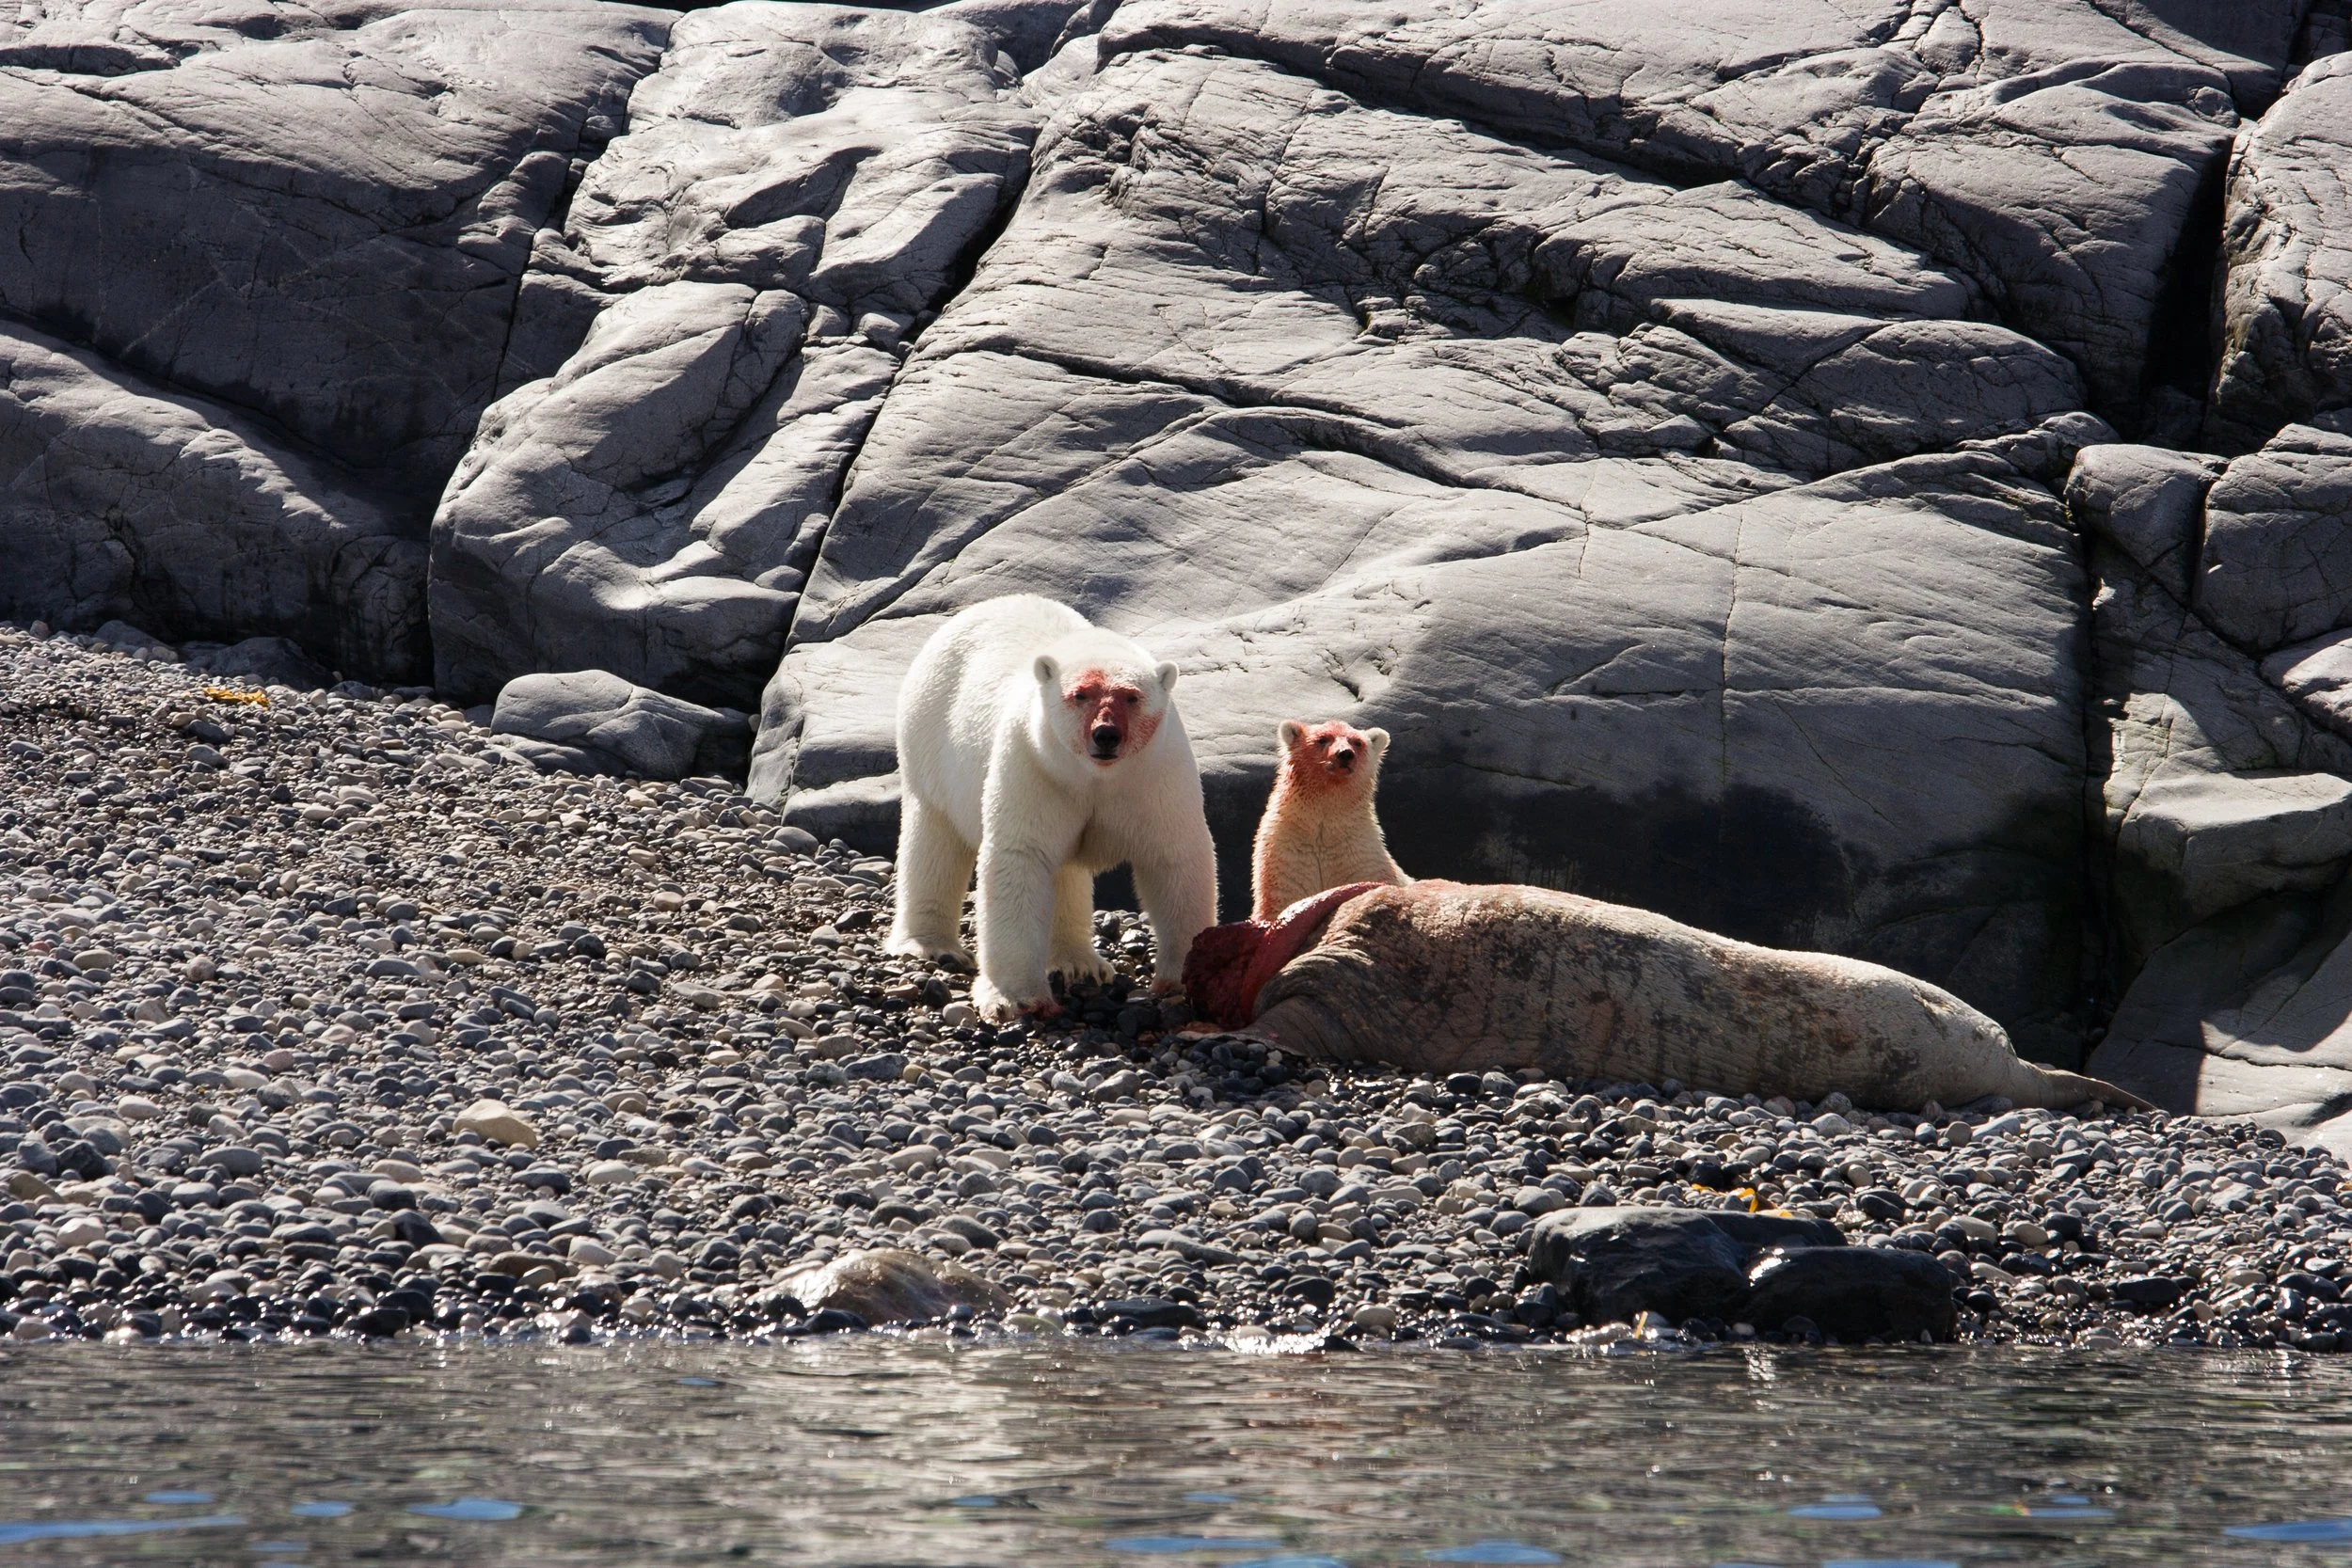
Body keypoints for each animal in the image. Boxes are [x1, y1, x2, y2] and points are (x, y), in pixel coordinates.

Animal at [888, 595, 1219, 1022]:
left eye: (1132, 696)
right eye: (1080, 694)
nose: (1106, 735)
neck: (1096, 777)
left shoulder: (1156, 775)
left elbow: (1174, 860)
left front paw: (1182, 979)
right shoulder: (1035, 765)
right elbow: (1022, 858)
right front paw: (1018, 999)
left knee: (1066, 873)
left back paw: (1079, 963)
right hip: (929, 734)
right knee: (934, 840)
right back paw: (930, 945)